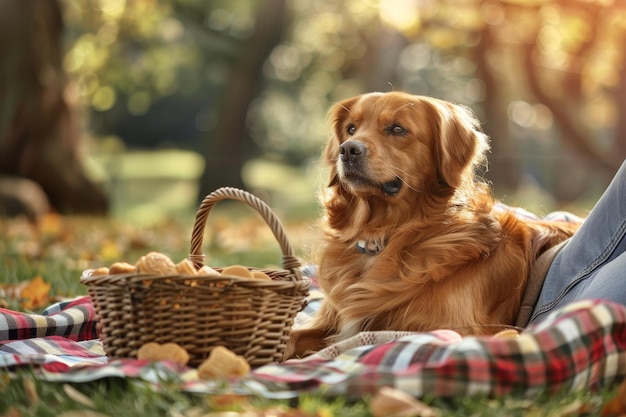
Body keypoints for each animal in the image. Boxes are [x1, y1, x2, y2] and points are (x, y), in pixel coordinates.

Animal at [286, 91, 576, 358]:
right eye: (351, 128)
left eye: (397, 129)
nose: (347, 149)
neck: (382, 236)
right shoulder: (330, 321)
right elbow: (292, 336)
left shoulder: (452, 329)